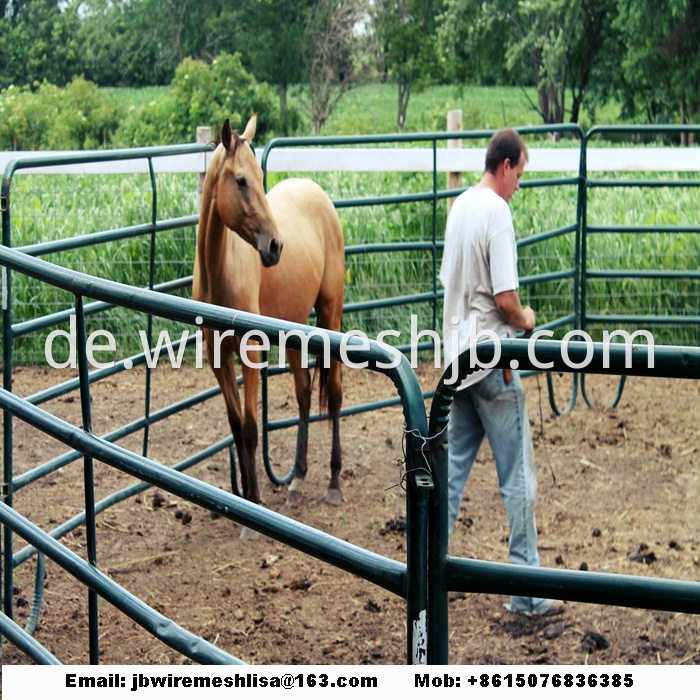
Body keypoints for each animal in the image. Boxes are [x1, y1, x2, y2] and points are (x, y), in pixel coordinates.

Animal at [191, 112, 344, 524]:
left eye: (261, 178)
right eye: (241, 181)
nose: (275, 247)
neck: (220, 271)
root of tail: (315, 190)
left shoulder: (250, 354)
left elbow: (250, 426)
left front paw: (254, 507)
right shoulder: (218, 358)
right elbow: (235, 426)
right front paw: (245, 499)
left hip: (331, 313)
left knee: (335, 393)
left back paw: (333, 482)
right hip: (295, 328)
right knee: (304, 391)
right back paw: (297, 480)